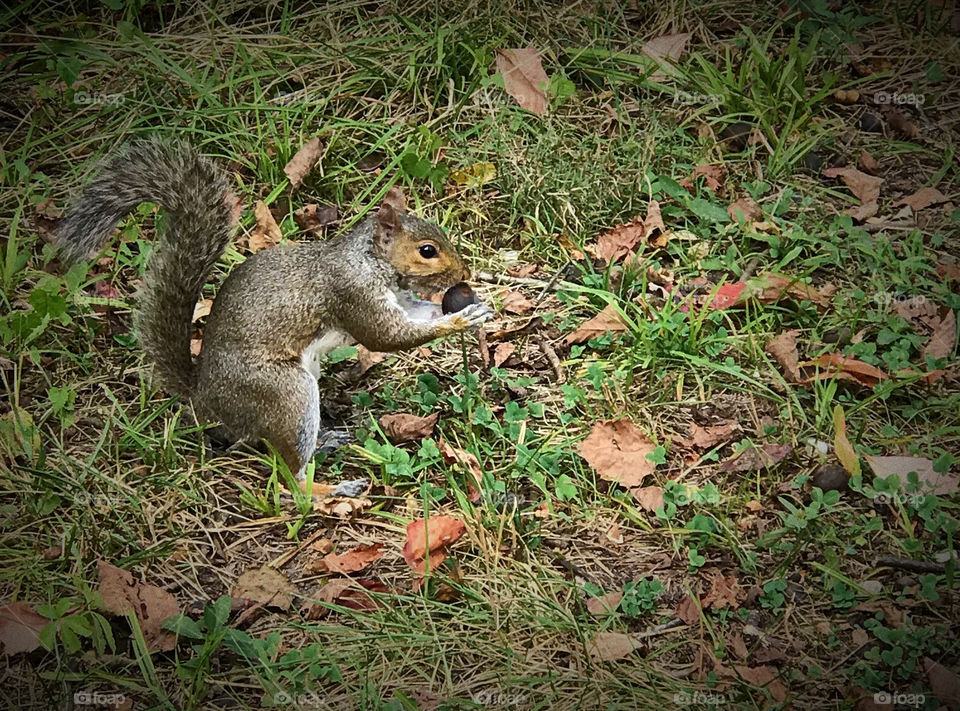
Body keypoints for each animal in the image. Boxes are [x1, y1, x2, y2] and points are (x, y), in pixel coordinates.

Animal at [57, 139, 492, 478]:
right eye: (427, 251)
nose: (464, 272)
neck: (369, 262)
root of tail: (204, 401)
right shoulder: (351, 294)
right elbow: (386, 337)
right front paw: (458, 320)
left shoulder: (398, 299)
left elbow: (418, 316)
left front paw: (474, 310)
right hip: (285, 394)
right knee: (289, 474)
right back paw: (326, 489)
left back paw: (328, 440)